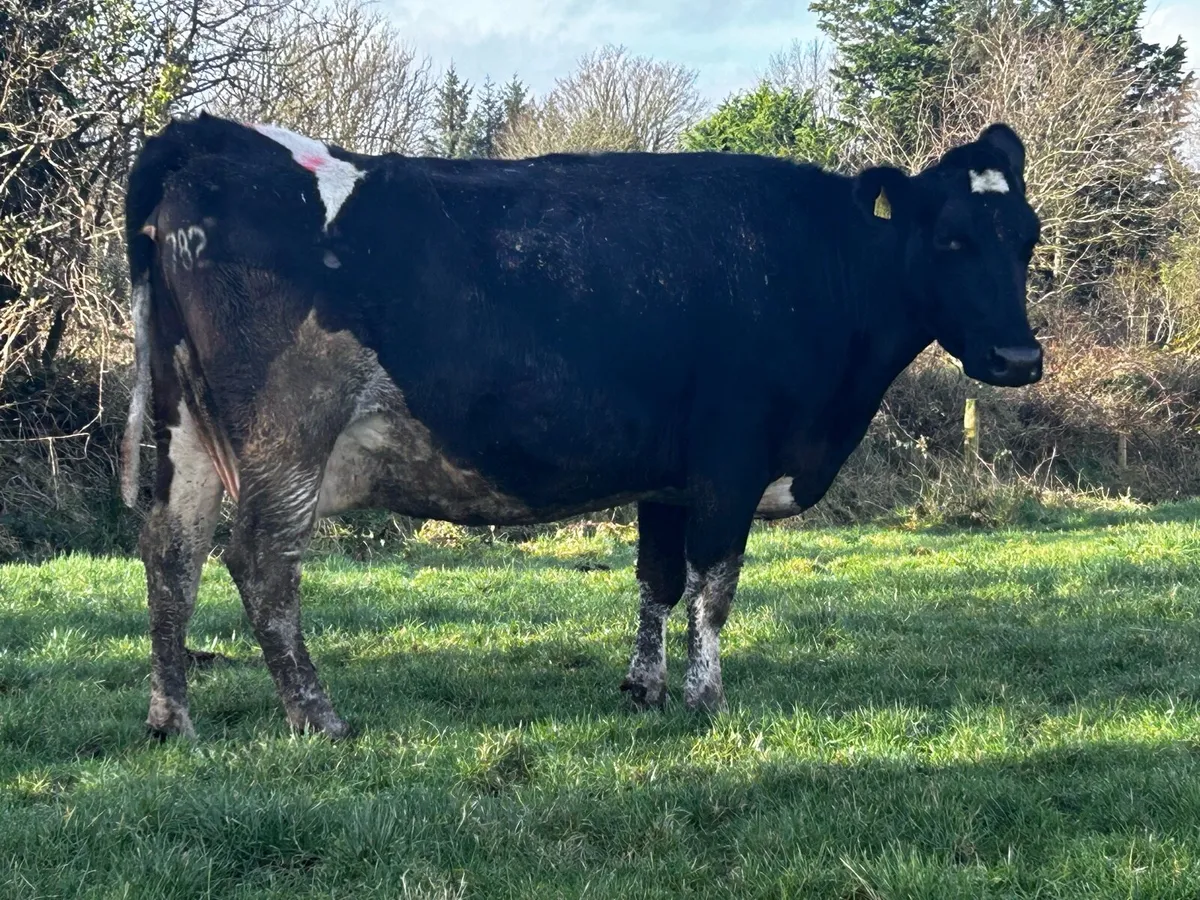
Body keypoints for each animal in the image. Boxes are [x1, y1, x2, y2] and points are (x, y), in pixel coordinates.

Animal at [121, 112, 1042, 739]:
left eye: (1028, 239)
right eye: (951, 239)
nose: (1019, 356)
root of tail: (210, 137)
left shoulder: (669, 476)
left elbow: (658, 582)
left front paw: (644, 689)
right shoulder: (731, 461)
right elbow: (715, 586)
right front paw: (706, 700)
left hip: (183, 426)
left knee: (172, 550)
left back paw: (172, 720)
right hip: (287, 434)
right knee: (259, 561)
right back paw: (319, 718)